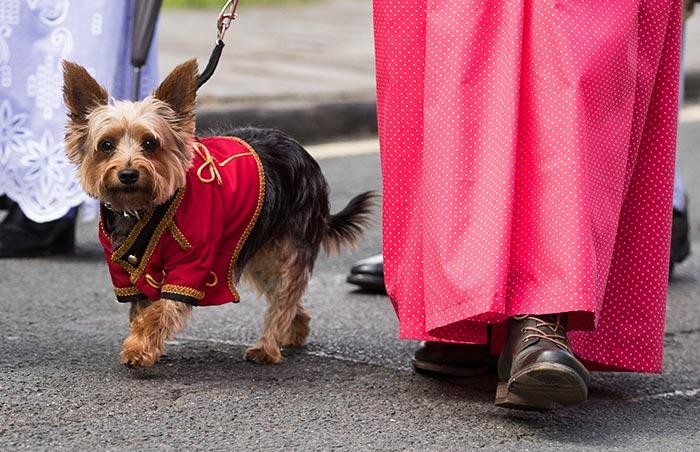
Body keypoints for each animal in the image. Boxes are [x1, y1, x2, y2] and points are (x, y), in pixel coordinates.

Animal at [63, 59, 374, 368]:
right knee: (287, 297)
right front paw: (146, 344)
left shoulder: (192, 264)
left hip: (290, 245)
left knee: (284, 297)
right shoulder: (127, 271)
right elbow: (141, 309)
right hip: (258, 252)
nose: (128, 174)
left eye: (150, 143)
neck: (143, 209)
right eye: (106, 145)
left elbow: (161, 309)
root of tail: (303, 153)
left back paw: (268, 347)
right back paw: (296, 331)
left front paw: (138, 348)